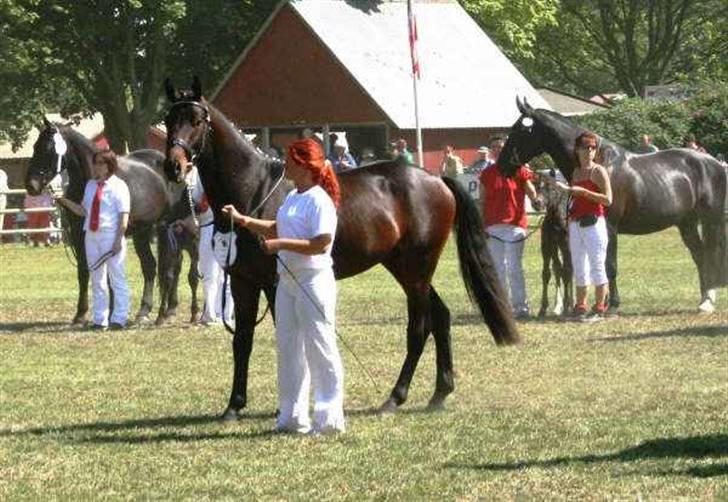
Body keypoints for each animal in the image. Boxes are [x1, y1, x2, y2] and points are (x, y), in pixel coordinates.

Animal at [25, 119, 199, 324]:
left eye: (48, 148)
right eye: (35, 147)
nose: (31, 185)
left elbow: (108, 275)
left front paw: (110, 312)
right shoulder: (79, 234)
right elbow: (84, 271)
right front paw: (81, 314)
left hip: (165, 229)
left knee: (169, 267)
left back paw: (164, 313)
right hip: (143, 232)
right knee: (151, 266)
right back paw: (148, 310)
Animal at [165, 76, 516, 418]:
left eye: (197, 120)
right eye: (169, 119)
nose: (173, 167)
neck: (255, 191)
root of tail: (436, 179)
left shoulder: (277, 283)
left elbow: (287, 339)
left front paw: (290, 405)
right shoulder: (244, 282)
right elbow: (242, 341)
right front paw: (234, 405)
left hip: (417, 270)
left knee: (419, 327)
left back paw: (395, 398)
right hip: (406, 268)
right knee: (441, 317)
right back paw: (440, 393)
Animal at [500, 99, 728, 314]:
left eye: (521, 130)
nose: (503, 164)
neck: (599, 162)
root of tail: (714, 164)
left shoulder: (609, 226)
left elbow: (609, 264)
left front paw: (612, 304)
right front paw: (602, 302)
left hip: (711, 220)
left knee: (710, 253)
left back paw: (708, 300)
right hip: (687, 223)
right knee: (700, 255)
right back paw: (704, 300)